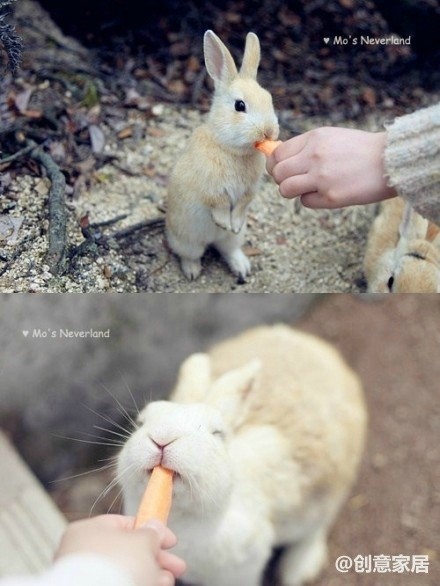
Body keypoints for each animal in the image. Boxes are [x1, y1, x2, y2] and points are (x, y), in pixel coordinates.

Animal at [118, 324, 366, 584]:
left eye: (218, 433)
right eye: (141, 422)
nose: (162, 439)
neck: (181, 518)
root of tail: (318, 348)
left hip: (324, 495)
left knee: (317, 527)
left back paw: (298, 570)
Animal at [165, 29, 278, 280]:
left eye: (270, 100)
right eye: (239, 106)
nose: (268, 131)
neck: (231, 149)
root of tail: (210, 241)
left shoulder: (249, 191)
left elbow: (242, 204)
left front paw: (232, 224)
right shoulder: (210, 188)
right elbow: (219, 203)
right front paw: (224, 222)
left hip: (232, 241)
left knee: (228, 249)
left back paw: (242, 267)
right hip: (188, 241)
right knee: (190, 254)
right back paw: (192, 272)